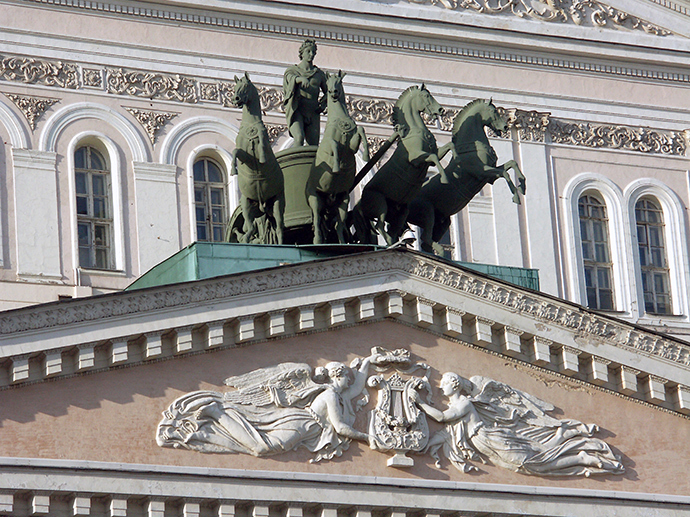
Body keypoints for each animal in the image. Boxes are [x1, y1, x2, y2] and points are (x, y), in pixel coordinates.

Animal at [231, 71, 284, 246]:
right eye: (235, 86)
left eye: (245, 86)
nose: (235, 99)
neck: (250, 125)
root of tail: (262, 205)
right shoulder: (244, 156)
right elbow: (235, 151)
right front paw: (233, 169)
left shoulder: (265, 145)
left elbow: (261, 139)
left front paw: (260, 156)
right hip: (248, 204)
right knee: (251, 227)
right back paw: (247, 237)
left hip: (277, 204)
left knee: (279, 229)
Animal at [306, 68, 368, 244]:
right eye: (327, 84)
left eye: (339, 81)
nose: (333, 92)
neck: (339, 119)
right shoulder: (328, 143)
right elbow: (334, 144)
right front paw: (335, 167)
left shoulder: (353, 145)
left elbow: (361, 130)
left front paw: (367, 155)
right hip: (315, 199)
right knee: (317, 220)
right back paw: (318, 240)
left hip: (342, 201)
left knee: (338, 224)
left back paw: (341, 242)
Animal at [350, 83, 452, 245]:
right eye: (426, 96)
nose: (441, 110)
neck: (415, 131)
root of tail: (359, 204)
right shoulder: (416, 159)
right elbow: (433, 158)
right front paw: (444, 178)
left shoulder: (434, 154)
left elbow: (446, 148)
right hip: (380, 204)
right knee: (380, 226)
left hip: (401, 211)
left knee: (391, 229)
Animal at [406, 98, 524, 253]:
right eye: (493, 111)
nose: (505, 127)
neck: (472, 146)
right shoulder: (481, 171)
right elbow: (505, 173)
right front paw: (516, 196)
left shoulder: (490, 177)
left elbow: (511, 164)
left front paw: (522, 186)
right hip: (427, 211)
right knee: (425, 238)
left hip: (442, 222)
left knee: (426, 243)